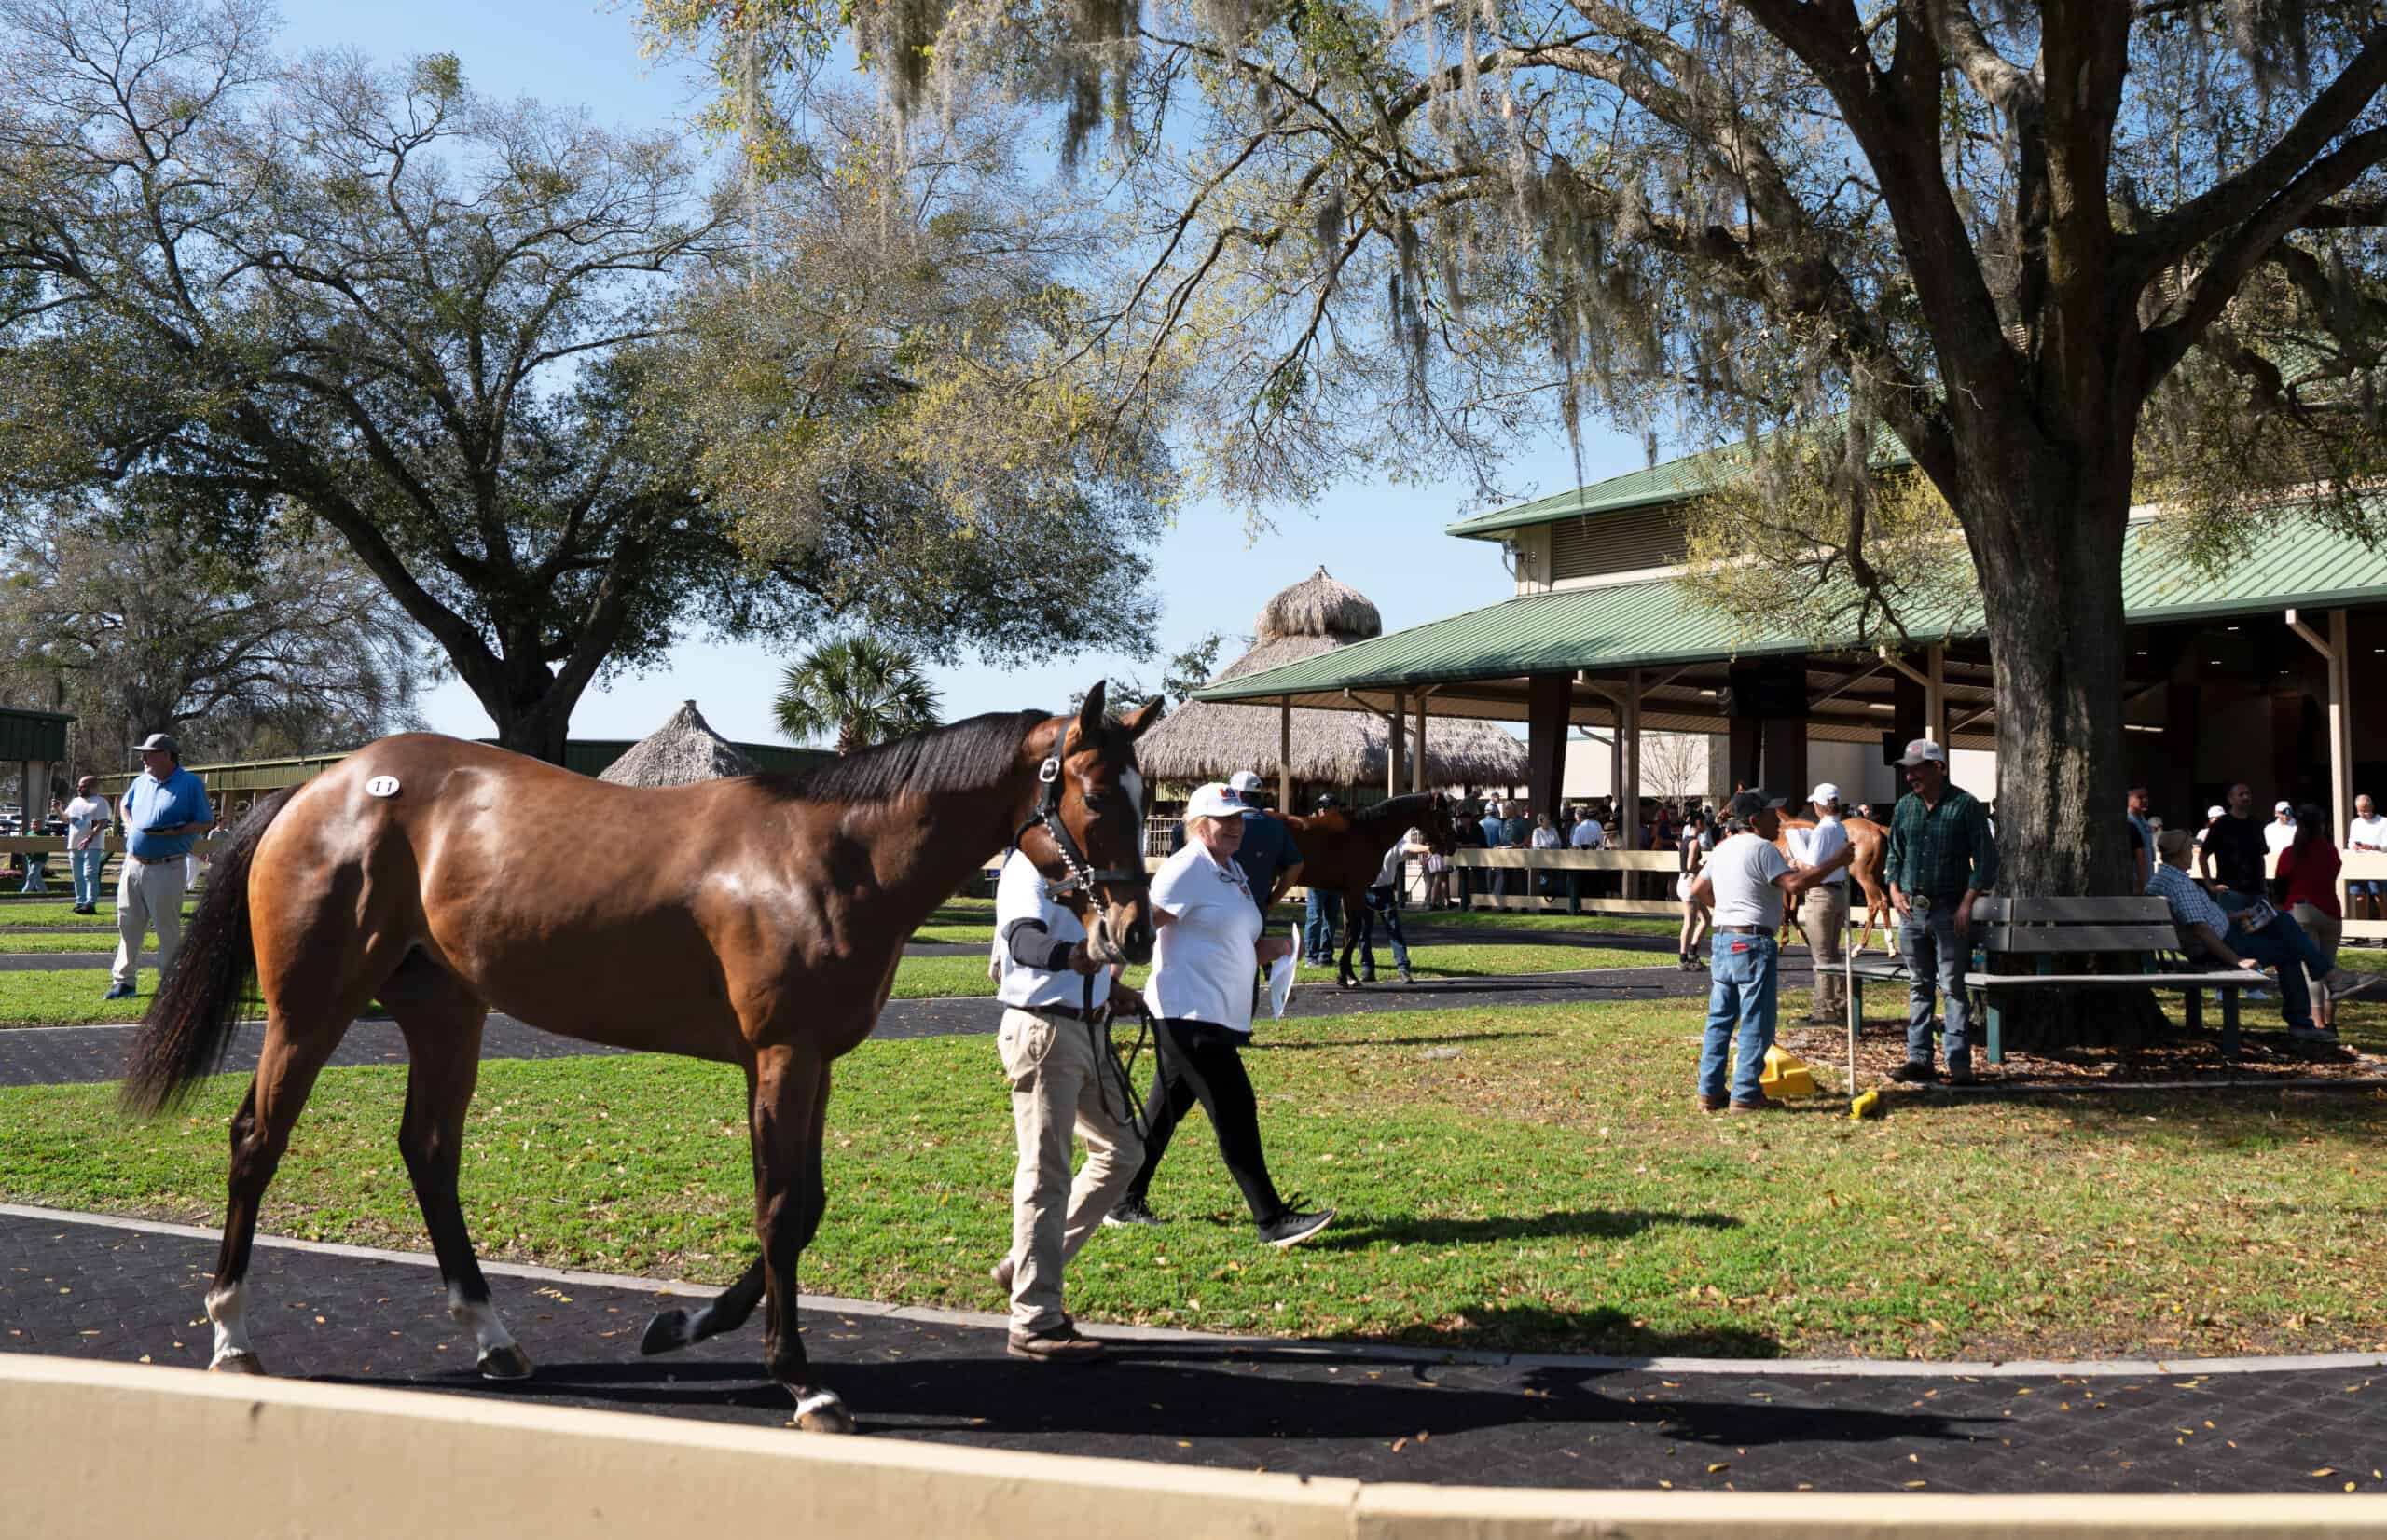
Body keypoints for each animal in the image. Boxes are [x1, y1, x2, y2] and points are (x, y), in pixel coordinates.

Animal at [119, 683, 1161, 1434]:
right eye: (1094, 793)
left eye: (1149, 798)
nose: (1131, 929)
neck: (831, 854)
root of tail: (317, 787)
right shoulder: (780, 1055)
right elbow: (779, 1208)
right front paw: (802, 1380)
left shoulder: (811, 1058)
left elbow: (804, 1207)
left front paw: (687, 1323)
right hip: (312, 1006)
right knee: (257, 1138)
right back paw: (231, 1333)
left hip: (445, 1009)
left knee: (429, 1152)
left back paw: (493, 1336)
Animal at [1278, 792, 1463, 986]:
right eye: (1442, 815)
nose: (1452, 846)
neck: (1369, 832)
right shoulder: (1356, 890)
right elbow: (1355, 929)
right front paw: (1345, 976)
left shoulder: (1347, 892)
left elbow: (1349, 930)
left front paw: (1348, 976)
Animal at [1773, 814, 1893, 954]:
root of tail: (1878, 828)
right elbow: (1792, 911)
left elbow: (1787, 911)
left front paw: (1785, 942)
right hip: (1875, 877)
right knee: (1880, 902)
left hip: (1864, 876)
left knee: (1877, 902)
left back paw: (1866, 946)